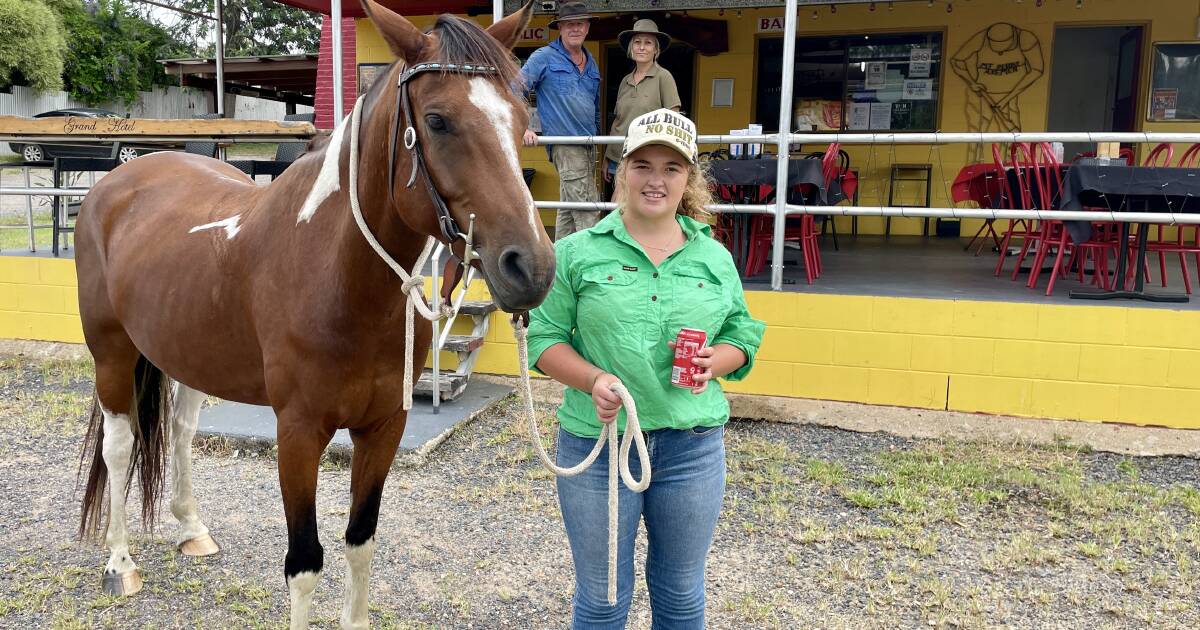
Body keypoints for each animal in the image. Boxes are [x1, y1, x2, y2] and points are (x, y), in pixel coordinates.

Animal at [77, 2, 554, 624]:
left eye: (521, 119)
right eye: (438, 120)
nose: (532, 267)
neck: (339, 280)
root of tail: (117, 181)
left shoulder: (383, 428)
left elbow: (360, 541)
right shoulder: (298, 433)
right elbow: (304, 563)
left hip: (185, 354)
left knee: (180, 431)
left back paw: (191, 529)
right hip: (111, 351)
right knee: (119, 444)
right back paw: (119, 563)